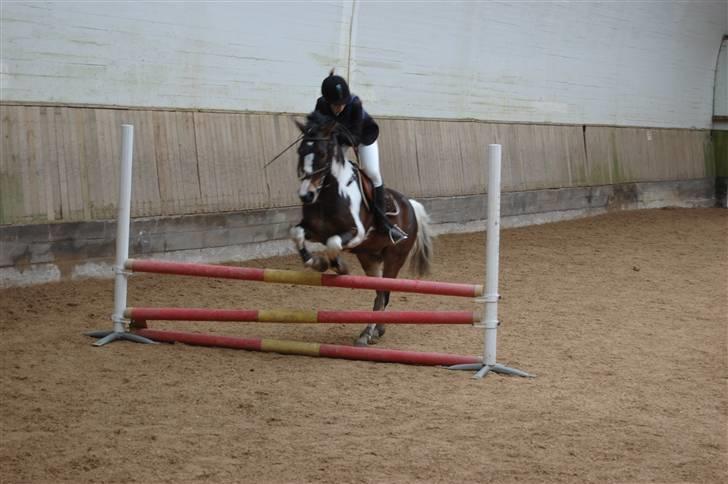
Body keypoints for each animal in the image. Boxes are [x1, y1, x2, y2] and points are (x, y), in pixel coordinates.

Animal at [288, 112, 432, 348]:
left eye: (322, 154)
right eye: (300, 152)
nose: (306, 195)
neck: (327, 194)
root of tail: (410, 205)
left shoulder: (357, 234)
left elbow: (334, 242)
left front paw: (339, 267)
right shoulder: (314, 231)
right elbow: (298, 234)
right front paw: (318, 263)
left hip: (394, 258)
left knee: (384, 293)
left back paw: (369, 333)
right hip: (369, 257)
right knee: (379, 292)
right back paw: (374, 330)